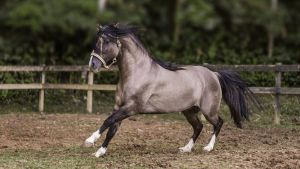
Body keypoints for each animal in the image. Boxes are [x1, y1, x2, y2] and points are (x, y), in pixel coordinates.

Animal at [82, 23, 260, 157]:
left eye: (106, 41)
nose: (93, 65)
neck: (137, 73)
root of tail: (214, 74)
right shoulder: (119, 107)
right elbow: (112, 129)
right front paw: (99, 152)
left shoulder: (131, 108)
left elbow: (108, 121)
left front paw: (90, 141)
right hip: (189, 110)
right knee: (198, 127)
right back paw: (186, 148)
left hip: (209, 110)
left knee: (218, 123)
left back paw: (208, 148)